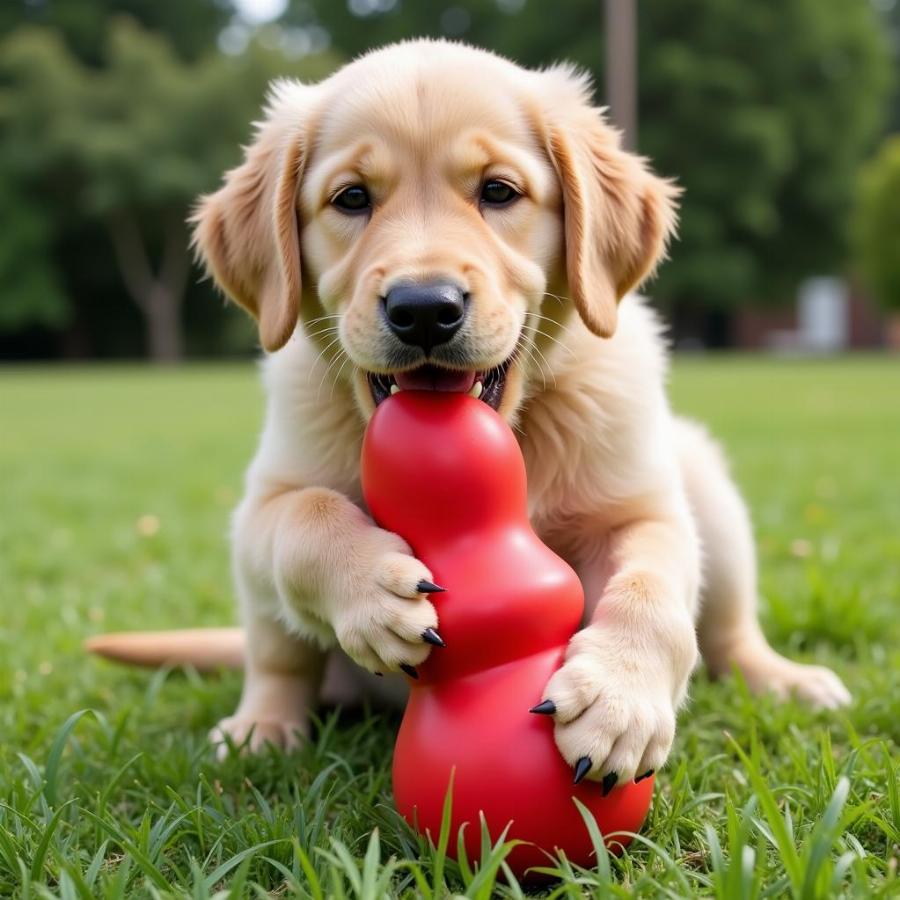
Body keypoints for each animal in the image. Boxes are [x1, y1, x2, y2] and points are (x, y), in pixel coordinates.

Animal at [91, 38, 852, 784]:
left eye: (498, 191)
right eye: (351, 198)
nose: (424, 308)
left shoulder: (640, 508)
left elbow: (651, 587)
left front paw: (618, 700)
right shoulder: (262, 503)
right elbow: (305, 515)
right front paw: (370, 587)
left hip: (708, 491)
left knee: (727, 634)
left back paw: (788, 681)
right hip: (263, 609)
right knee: (278, 660)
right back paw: (260, 730)